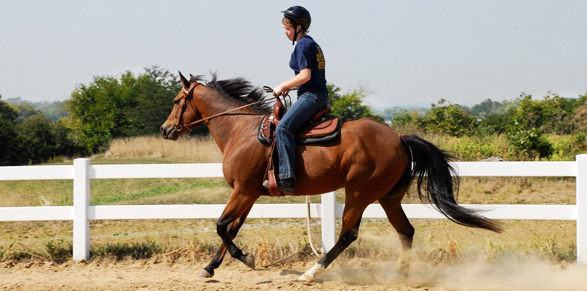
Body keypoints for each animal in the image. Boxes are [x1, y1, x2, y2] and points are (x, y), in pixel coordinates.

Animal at [160, 72, 500, 282]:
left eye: (177, 101)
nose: (165, 129)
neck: (240, 131)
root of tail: (399, 138)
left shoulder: (243, 190)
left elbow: (221, 226)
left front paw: (245, 259)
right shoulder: (250, 193)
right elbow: (230, 227)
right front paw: (210, 267)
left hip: (359, 193)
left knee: (348, 234)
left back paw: (312, 272)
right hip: (388, 197)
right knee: (406, 230)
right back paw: (401, 275)